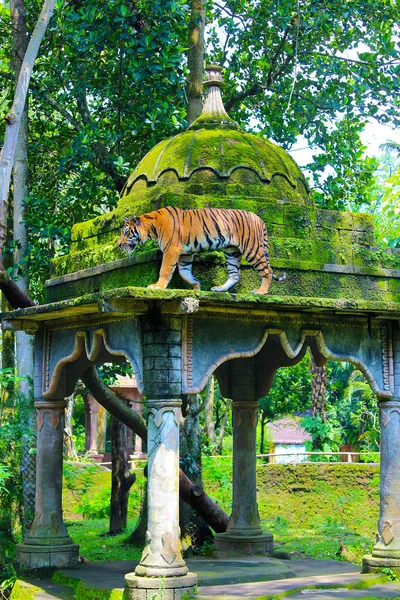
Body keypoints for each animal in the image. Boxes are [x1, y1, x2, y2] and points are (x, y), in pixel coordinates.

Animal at [117, 206, 286, 296]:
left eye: (125, 232)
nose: (118, 244)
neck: (152, 227)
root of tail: (259, 218)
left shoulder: (171, 250)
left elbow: (165, 270)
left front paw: (158, 287)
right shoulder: (185, 254)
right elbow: (184, 273)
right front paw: (197, 286)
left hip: (252, 248)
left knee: (268, 270)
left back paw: (261, 291)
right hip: (231, 251)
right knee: (234, 274)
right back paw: (219, 289)